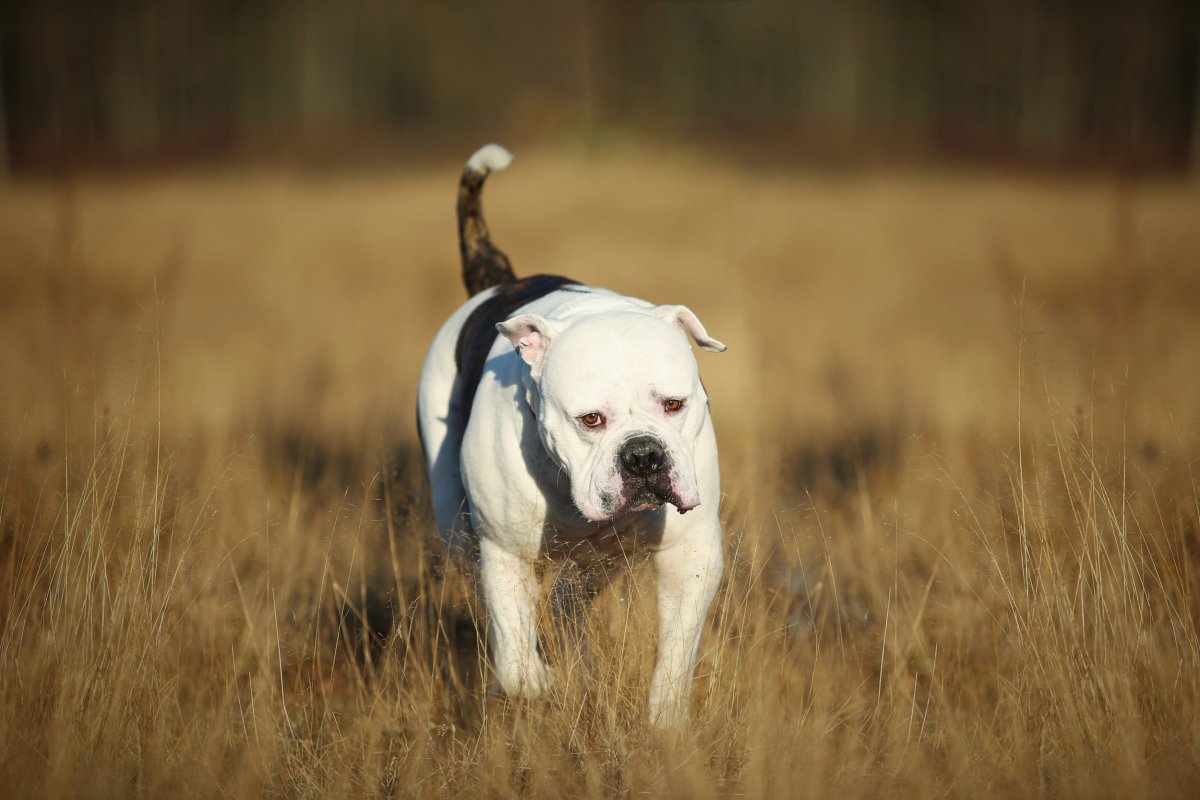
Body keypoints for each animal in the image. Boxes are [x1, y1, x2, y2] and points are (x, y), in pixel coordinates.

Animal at [417, 145, 724, 734]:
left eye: (675, 405)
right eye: (590, 419)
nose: (643, 455)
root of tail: (498, 282)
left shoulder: (691, 553)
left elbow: (677, 648)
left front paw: (666, 719)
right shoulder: (503, 551)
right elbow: (515, 648)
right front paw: (535, 681)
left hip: (593, 566)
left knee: (567, 604)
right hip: (455, 524)